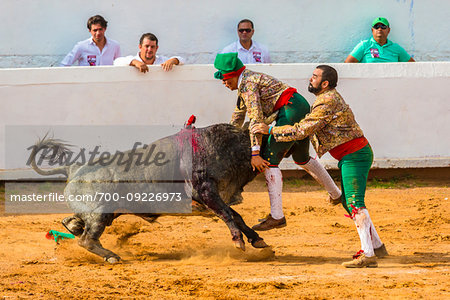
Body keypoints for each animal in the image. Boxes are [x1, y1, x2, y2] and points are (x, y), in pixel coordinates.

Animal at [29, 122, 268, 262]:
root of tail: (73, 168)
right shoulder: (206, 192)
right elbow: (228, 215)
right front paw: (239, 242)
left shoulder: (217, 197)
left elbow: (237, 216)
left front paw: (259, 241)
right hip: (100, 213)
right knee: (87, 240)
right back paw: (112, 257)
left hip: (99, 213)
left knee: (72, 224)